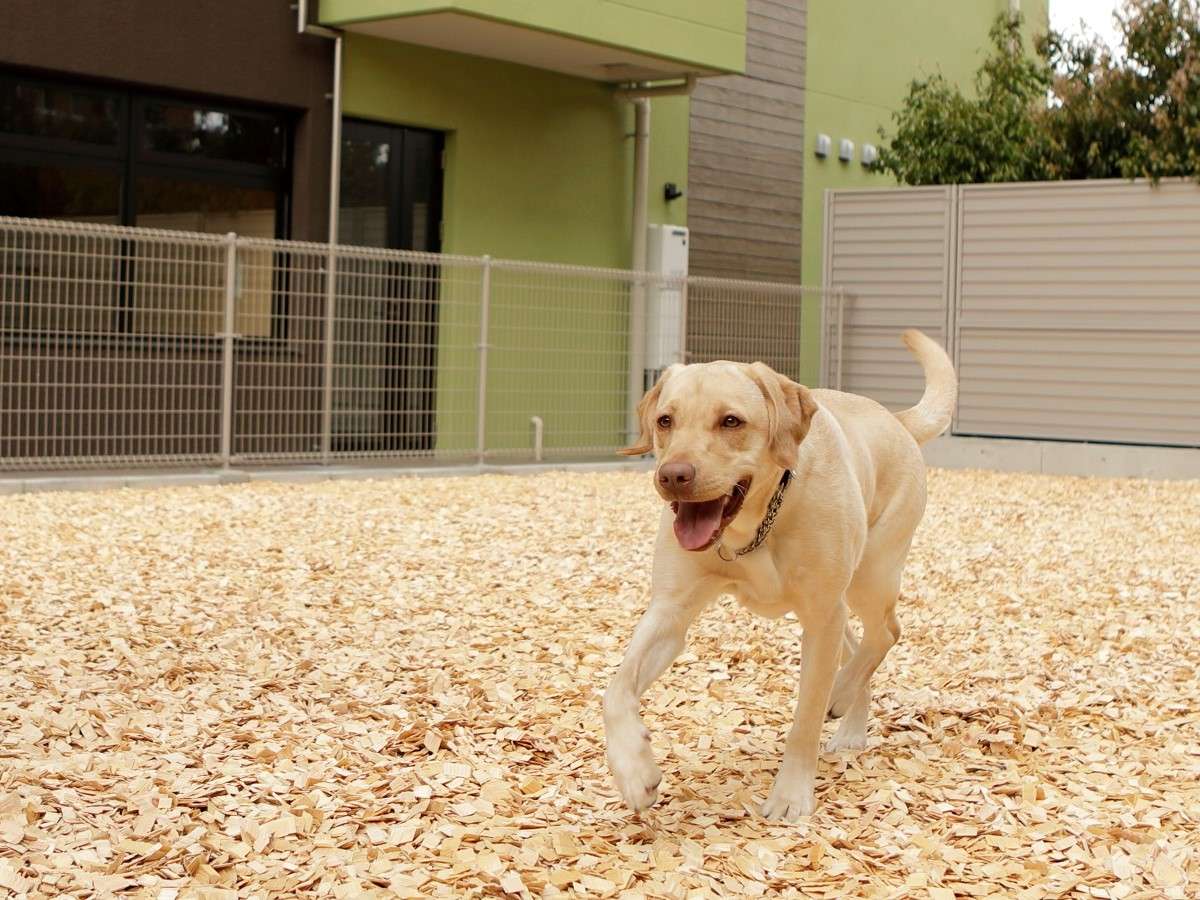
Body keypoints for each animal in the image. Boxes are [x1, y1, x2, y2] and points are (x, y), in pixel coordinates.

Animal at [609, 333, 955, 825]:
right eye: (665, 420)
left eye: (731, 421)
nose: (672, 476)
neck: (754, 527)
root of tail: (895, 419)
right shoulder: (670, 611)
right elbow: (616, 688)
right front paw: (634, 770)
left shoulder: (822, 614)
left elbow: (806, 716)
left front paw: (791, 796)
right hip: (839, 606)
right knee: (859, 647)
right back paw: (850, 722)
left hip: (868, 577)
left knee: (885, 633)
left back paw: (841, 695)